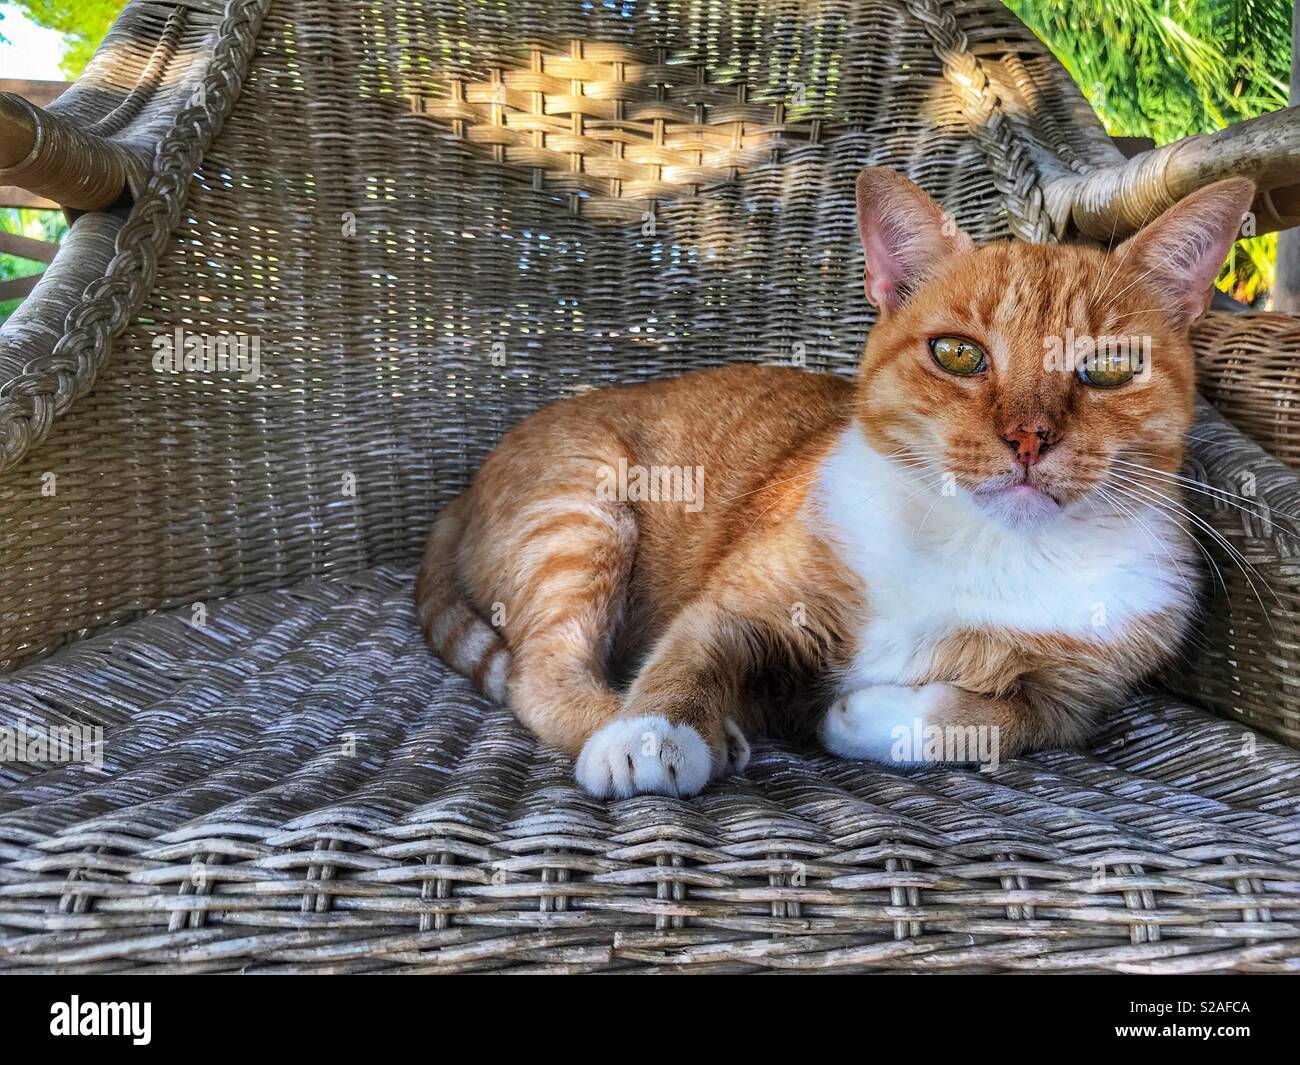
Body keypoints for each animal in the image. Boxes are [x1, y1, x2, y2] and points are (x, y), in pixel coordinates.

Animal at [413, 169, 1248, 801]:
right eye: (958, 354)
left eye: (1109, 367)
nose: (1029, 436)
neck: (987, 548)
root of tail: (460, 493)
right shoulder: (738, 605)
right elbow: (686, 659)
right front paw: (654, 732)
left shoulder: (1079, 700)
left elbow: (997, 718)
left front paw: (866, 714)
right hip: (585, 512)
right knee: (539, 674)